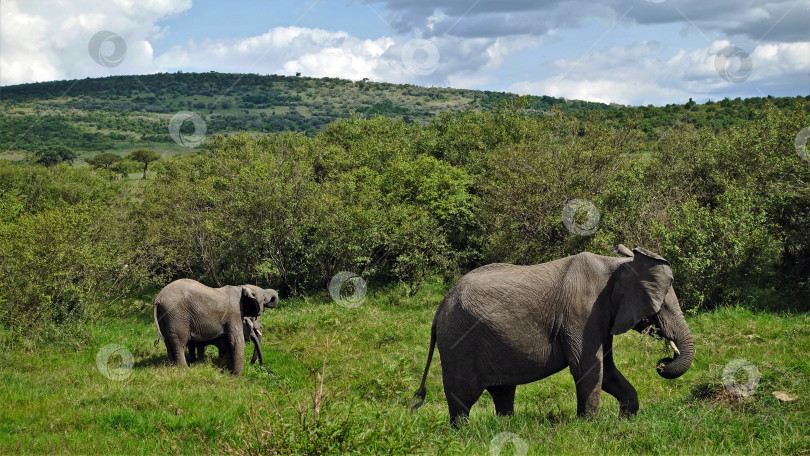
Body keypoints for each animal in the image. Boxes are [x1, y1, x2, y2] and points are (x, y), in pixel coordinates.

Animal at [414, 246, 692, 428]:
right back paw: (463, 433)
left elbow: (607, 369)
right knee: (463, 395)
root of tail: (440, 308)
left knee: (502, 392)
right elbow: (587, 366)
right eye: (661, 306)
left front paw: (625, 419)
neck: (615, 265)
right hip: (458, 341)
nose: (662, 362)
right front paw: (590, 427)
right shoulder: (583, 313)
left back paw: (506, 427)